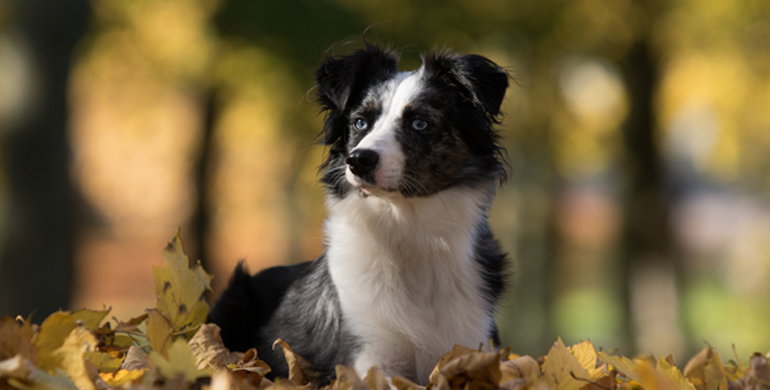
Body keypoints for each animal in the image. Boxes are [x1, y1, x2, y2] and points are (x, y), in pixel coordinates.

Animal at [208, 42, 510, 384]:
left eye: (420, 123)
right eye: (360, 123)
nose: (358, 160)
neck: (408, 228)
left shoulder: (476, 348)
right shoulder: (367, 356)